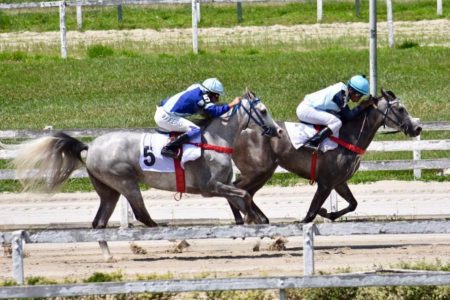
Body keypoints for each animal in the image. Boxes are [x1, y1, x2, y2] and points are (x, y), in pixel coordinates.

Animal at [230, 88, 424, 224]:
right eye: (400, 109)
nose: (417, 128)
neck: (348, 136)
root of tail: (241, 131)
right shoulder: (325, 183)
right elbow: (310, 215)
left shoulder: (338, 182)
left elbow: (353, 204)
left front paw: (327, 212)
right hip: (257, 171)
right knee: (237, 188)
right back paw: (247, 218)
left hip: (264, 172)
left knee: (246, 192)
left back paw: (257, 218)